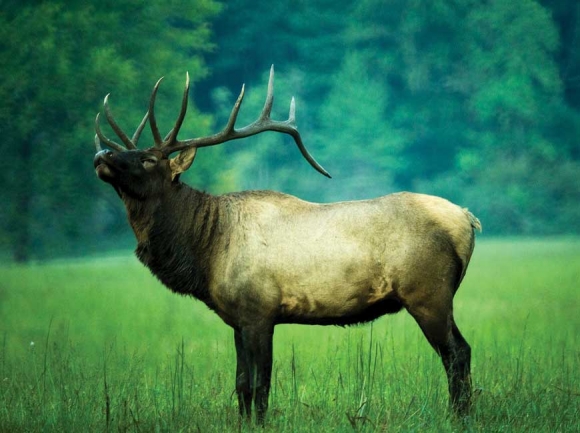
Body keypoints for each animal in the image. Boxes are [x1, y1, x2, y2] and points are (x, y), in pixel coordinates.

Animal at [92, 66, 480, 424]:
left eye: (148, 159)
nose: (101, 155)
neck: (207, 250)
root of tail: (467, 219)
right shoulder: (237, 320)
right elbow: (241, 384)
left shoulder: (260, 311)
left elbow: (260, 384)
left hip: (428, 293)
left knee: (458, 353)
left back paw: (458, 417)